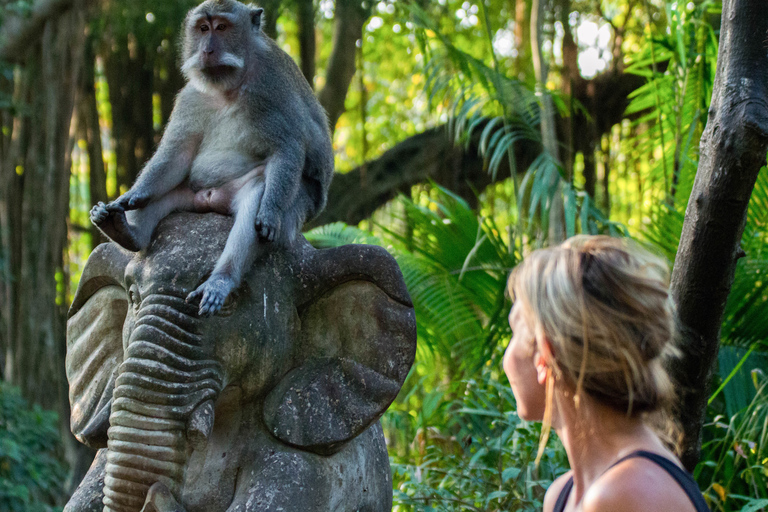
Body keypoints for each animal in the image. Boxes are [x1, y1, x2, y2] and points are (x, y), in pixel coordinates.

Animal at [89, 0, 332, 318]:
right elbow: (176, 156)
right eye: (203, 29)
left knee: (257, 195)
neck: (228, 85)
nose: (207, 50)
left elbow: (287, 148)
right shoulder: (191, 97)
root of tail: (213, 200)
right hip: (190, 196)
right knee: (166, 192)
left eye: (222, 27)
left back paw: (221, 280)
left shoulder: (270, 87)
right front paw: (133, 195)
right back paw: (126, 232)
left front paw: (269, 211)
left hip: (297, 205)